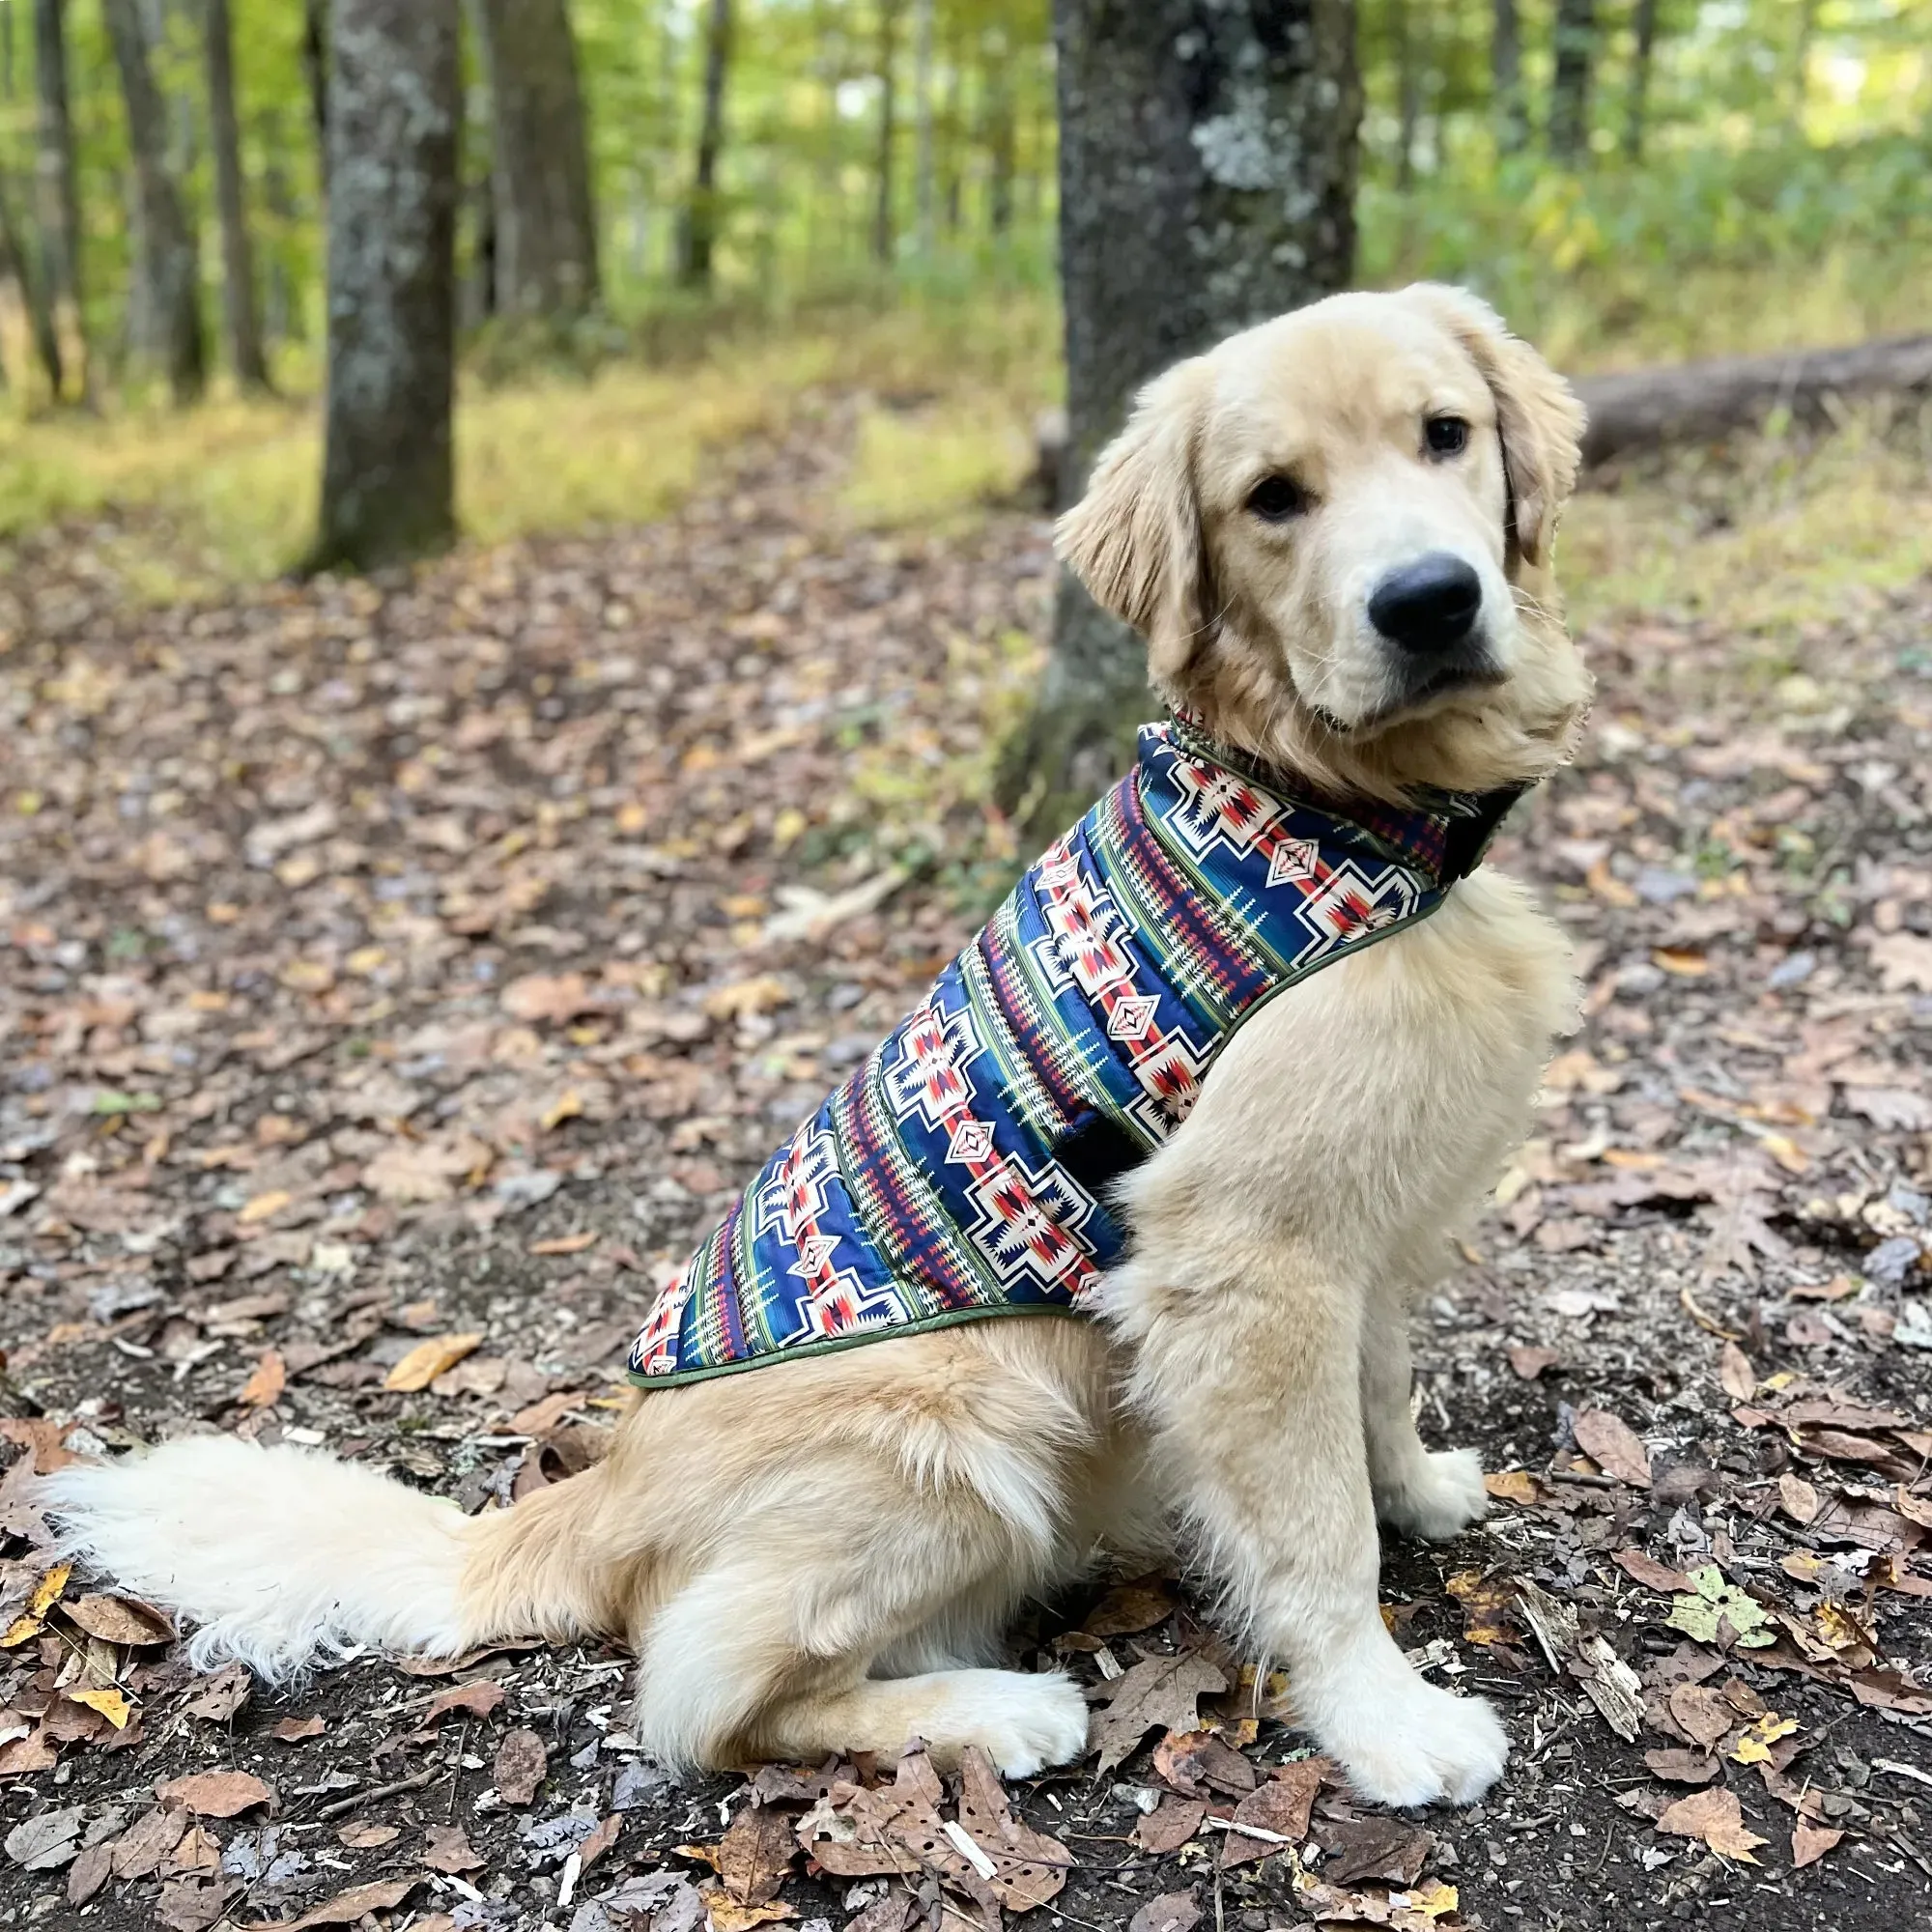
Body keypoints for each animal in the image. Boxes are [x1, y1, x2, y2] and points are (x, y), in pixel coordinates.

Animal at [45, 282, 1584, 1808]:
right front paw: (1386, 1718)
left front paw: (1416, 1489)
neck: (1325, 797)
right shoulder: (1248, 1261)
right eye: (1273, 498)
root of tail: (595, 1492)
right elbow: (1315, 1529)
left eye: (1444, 434)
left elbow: (1374, 1398)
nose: (1431, 600)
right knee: (705, 1691)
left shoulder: (1357, 1233)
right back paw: (991, 1712)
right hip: (965, 1414)